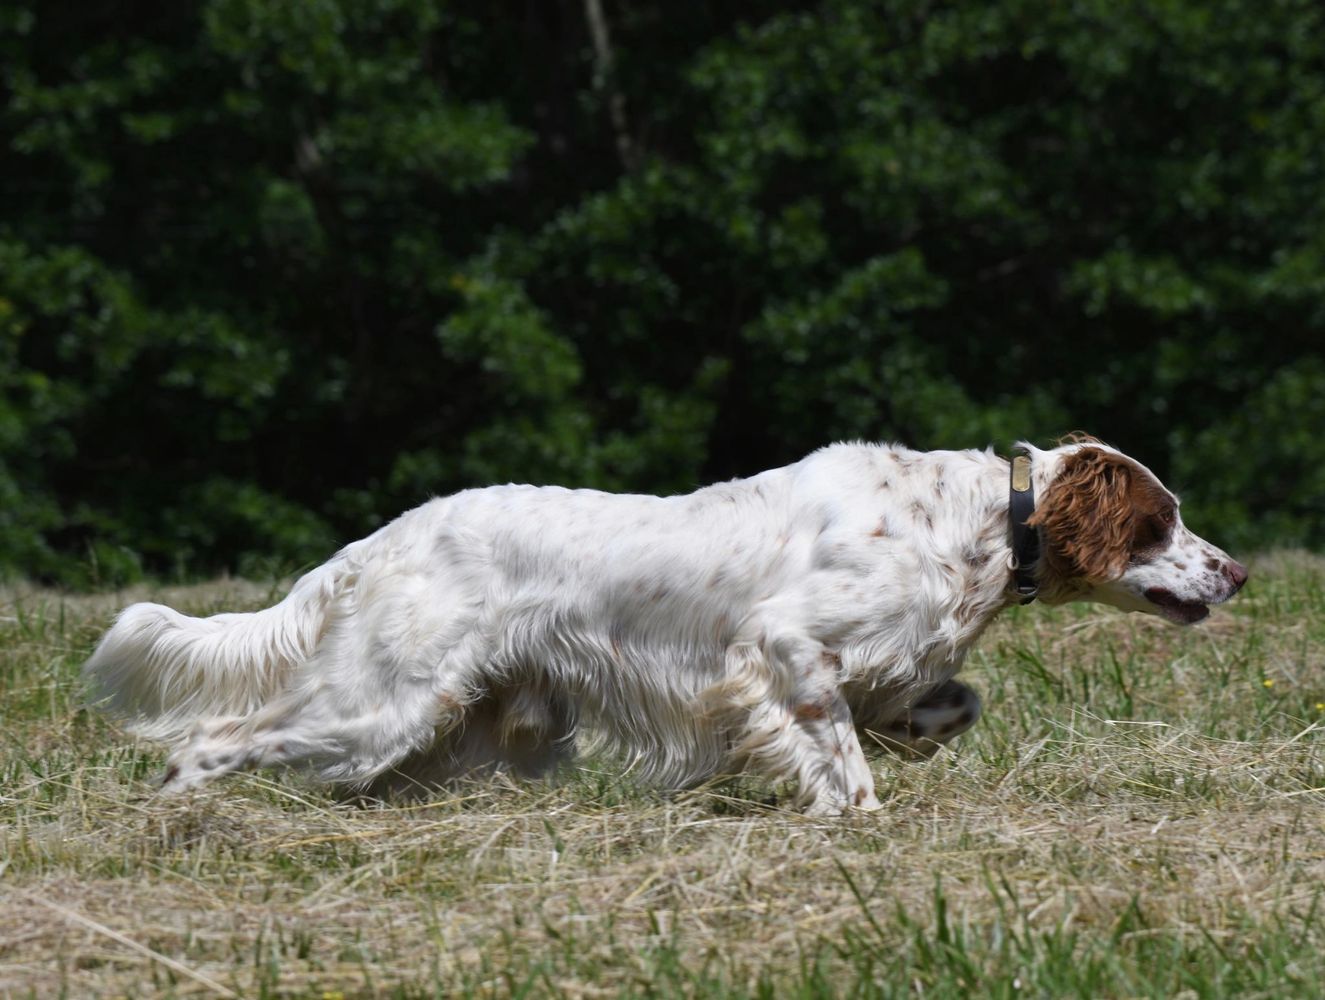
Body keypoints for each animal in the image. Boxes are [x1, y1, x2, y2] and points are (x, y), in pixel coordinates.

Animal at [88, 437, 1245, 815]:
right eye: (1161, 520)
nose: (1234, 572)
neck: (974, 524)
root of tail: (383, 537)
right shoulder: (783, 644)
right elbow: (835, 747)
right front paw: (862, 819)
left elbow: (947, 700)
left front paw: (910, 730)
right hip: (379, 704)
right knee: (215, 738)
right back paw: (177, 815)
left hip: (469, 724)